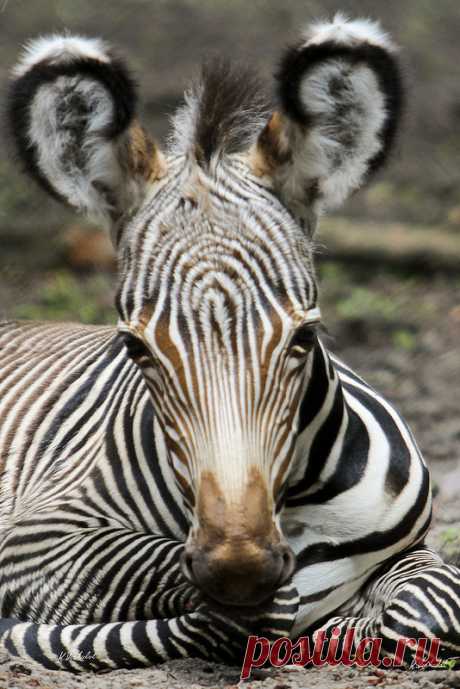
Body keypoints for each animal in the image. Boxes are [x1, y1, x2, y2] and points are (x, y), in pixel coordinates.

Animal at [0, 13, 460, 672]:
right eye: (136, 350)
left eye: (305, 335)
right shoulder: (40, 533)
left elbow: (430, 606)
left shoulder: (413, 546)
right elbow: (226, 610)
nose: (239, 569)